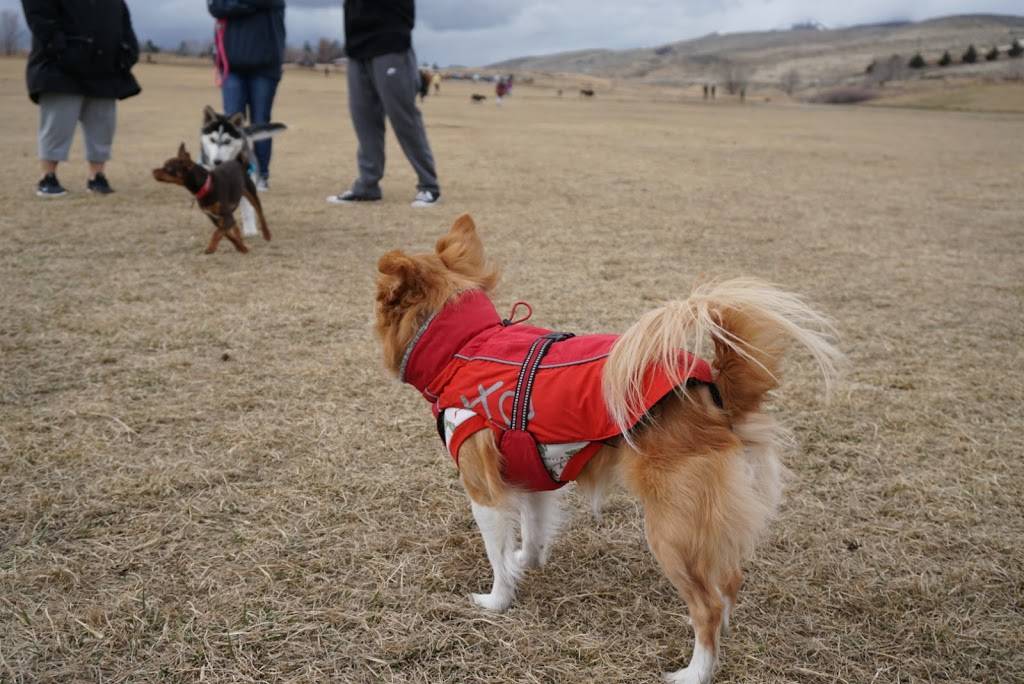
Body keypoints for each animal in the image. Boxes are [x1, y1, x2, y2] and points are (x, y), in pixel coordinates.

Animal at [376, 215, 839, 684]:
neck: (464, 347)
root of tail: (715, 398)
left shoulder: (483, 490)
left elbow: (496, 552)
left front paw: (497, 600)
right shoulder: (530, 476)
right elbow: (533, 528)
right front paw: (528, 561)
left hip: (671, 530)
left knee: (706, 605)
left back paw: (694, 672)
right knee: (728, 583)